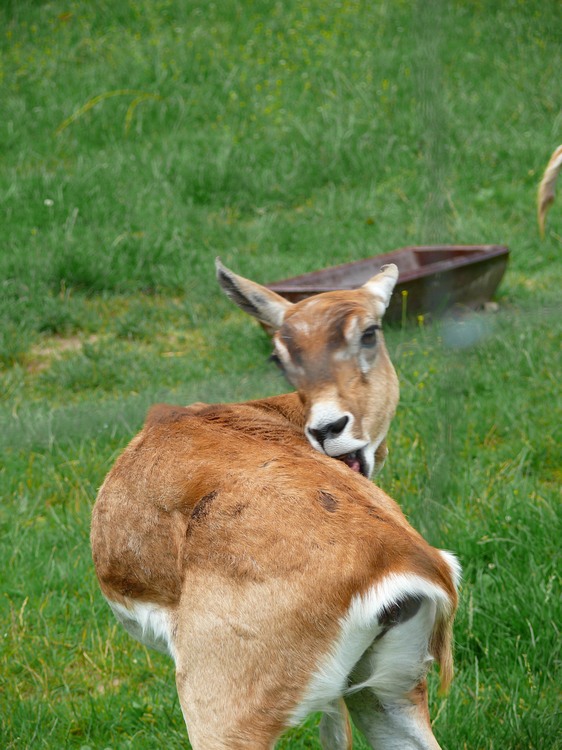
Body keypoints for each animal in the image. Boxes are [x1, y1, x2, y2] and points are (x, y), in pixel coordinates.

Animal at [91, 262, 460, 748]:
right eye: (280, 355)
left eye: (369, 332)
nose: (328, 428)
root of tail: (405, 560)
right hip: (387, 691)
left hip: (221, 715)